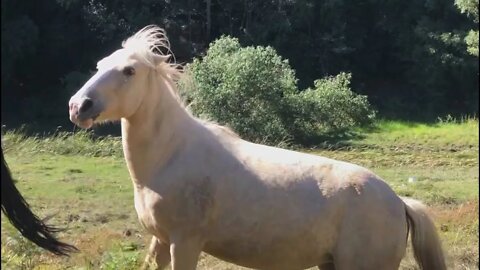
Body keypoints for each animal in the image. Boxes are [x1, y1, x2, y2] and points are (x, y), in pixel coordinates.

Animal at [69, 25, 448, 270]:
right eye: (100, 65)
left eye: (129, 71)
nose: (79, 106)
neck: (171, 155)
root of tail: (400, 202)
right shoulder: (161, 242)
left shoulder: (184, 242)